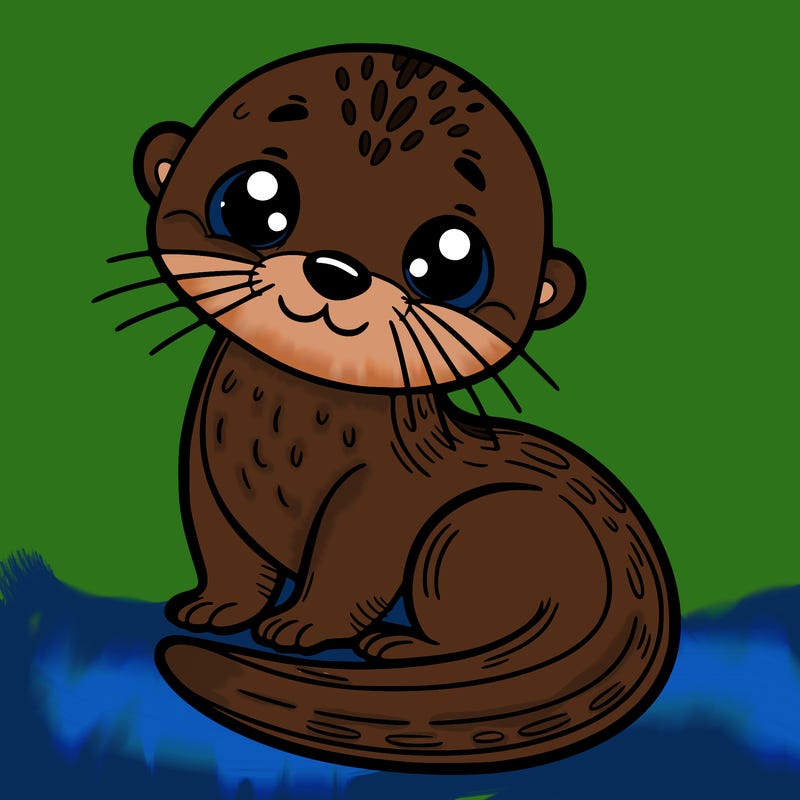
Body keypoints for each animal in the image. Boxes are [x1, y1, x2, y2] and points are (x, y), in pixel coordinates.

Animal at [106, 45, 679, 773]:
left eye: (450, 260)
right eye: (254, 200)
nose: (336, 270)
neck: (281, 437)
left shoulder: (380, 497)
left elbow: (352, 567)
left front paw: (301, 626)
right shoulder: (205, 473)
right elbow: (225, 550)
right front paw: (215, 607)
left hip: (468, 532)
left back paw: (401, 646)